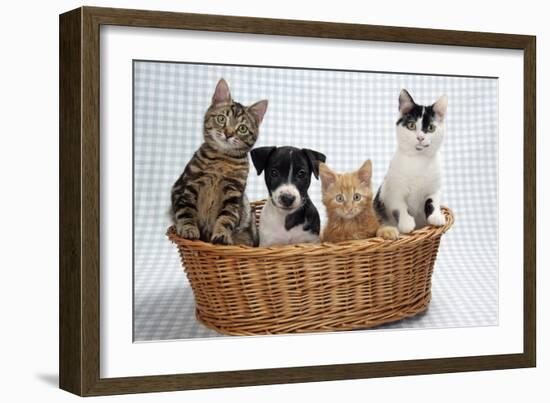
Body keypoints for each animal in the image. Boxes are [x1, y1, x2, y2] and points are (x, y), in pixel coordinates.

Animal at [171, 77, 268, 245]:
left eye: (242, 128)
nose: (228, 134)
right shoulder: (188, 185)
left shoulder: (233, 193)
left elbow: (226, 218)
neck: (222, 160)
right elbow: (186, 211)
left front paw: (222, 235)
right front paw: (188, 229)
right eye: (221, 118)